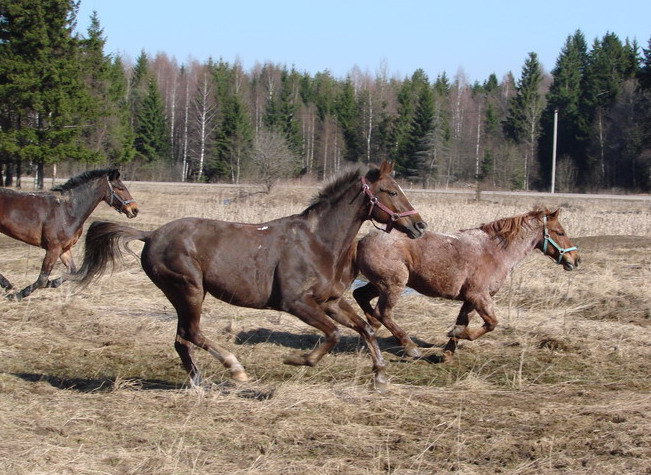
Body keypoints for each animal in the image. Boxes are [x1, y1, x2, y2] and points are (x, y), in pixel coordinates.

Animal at [0, 168, 139, 302]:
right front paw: (16, 295)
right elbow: (42, 280)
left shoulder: (64, 249)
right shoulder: (53, 249)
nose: (134, 210)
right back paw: (8, 285)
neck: (68, 211)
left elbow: (72, 272)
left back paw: (7, 284)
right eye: (120, 188)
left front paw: (53, 283)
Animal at [71, 162, 428, 392]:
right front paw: (299, 359)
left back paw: (200, 383)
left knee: (182, 339)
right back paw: (235, 369)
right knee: (192, 333)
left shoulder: (329, 301)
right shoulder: (296, 303)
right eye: (390, 191)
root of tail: (150, 235)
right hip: (188, 290)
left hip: (187, 294)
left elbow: (365, 328)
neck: (318, 241)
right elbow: (333, 335)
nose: (419, 226)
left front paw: (381, 376)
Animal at [354, 208, 584, 360]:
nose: (576, 259)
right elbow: (491, 324)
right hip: (394, 284)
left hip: (380, 284)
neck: (495, 252)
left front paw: (447, 353)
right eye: (560, 232)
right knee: (384, 312)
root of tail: (362, 240)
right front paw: (454, 334)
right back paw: (408, 346)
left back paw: (370, 325)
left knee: (361, 296)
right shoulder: (479, 296)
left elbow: (463, 322)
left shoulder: (470, 300)